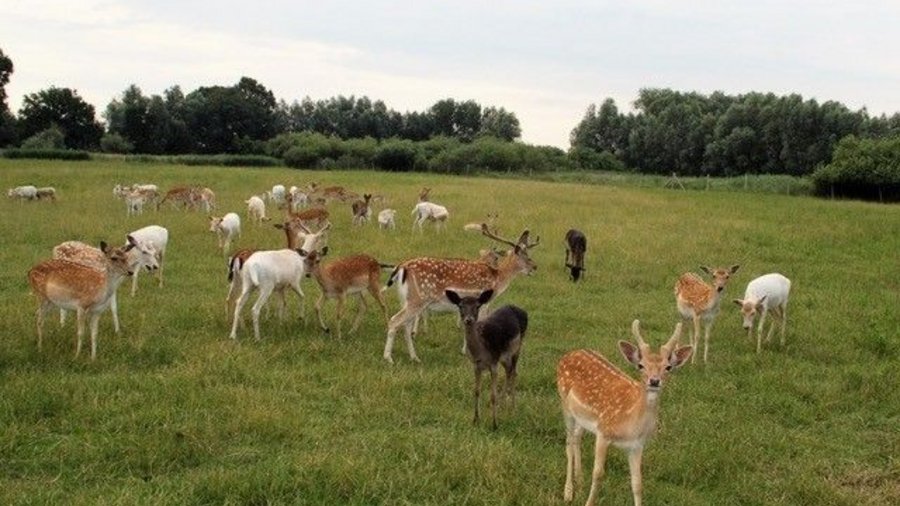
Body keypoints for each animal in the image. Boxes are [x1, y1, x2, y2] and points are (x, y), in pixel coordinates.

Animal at [382, 225, 536, 364]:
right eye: (525, 256)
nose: (534, 267)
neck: (497, 280)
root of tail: (401, 267)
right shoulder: (482, 303)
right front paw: (471, 352)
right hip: (418, 299)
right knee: (394, 320)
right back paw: (388, 358)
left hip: (406, 300)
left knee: (406, 326)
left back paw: (414, 357)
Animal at [444, 290, 528, 428]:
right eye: (460, 306)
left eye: (477, 306)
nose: (468, 320)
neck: (481, 351)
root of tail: (522, 311)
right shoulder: (476, 365)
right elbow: (476, 391)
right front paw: (475, 420)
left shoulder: (493, 363)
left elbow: (492, 395)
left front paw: (494, 424)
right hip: (504, 357)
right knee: (509, 371)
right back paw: (502, 403)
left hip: (518, 346)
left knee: (514, 372)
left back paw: (512, 407)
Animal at [556, 320, 696, 506]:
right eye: (641, 365)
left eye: (668, 367)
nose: (654, 381)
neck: (631, 425)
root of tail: (568, 354)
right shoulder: (603, 432)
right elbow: (598, 474)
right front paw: (588, 502)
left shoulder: (637, 445)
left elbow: (637, 483)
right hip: (565, 404)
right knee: (568, 442)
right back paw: (568, 492)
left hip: (581, 416)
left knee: (577, 438)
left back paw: (579, 482)